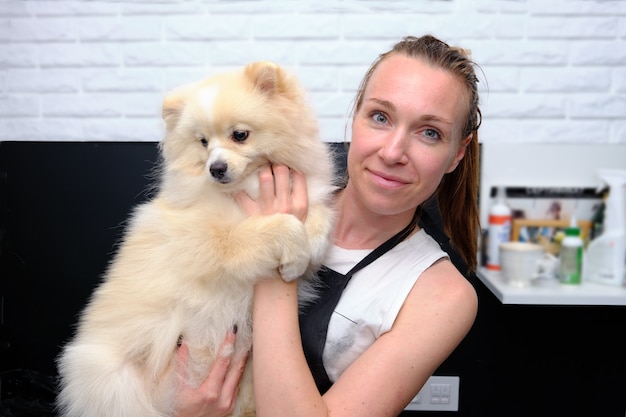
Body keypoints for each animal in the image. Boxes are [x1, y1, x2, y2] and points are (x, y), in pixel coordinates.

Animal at [56, 61, 334, 416]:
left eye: (239, 135)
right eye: (203, 142)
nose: (216, 168)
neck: (248, 187)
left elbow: (320, 214)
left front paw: (312, 244)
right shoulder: (206, 239)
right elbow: (271, 228)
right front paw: (294, 249)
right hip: (114, 382)